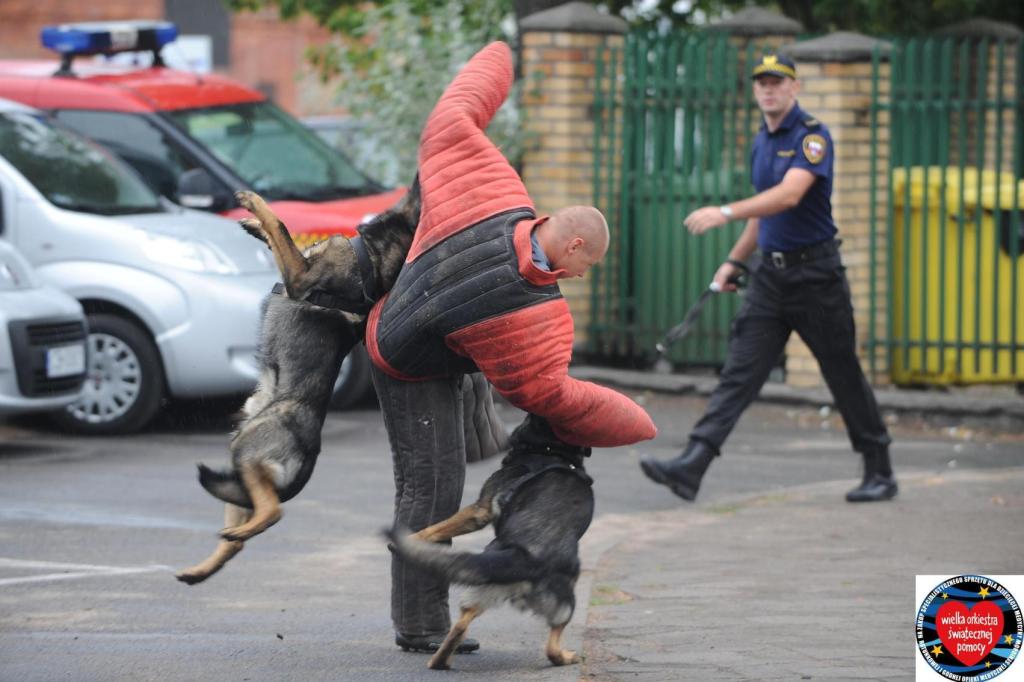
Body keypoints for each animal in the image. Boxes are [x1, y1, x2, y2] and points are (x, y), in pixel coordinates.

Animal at [177, 182, 419, 585]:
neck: (373, 259)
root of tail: (310, 453)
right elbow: (278, 235)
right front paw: (252, 224)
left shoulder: (298, 277)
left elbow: (281, 227)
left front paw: (254, 203)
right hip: (241, 470)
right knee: (241, 535)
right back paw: (200, 568)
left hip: (246, 450)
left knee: (273, 513)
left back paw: (240, 534)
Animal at [385, 411, 593, 667]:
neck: (551, 451)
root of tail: (526, 558)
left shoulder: (479, 511)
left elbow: (438, 527)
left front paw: (412, 537)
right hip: (495, 593)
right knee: (461, 627)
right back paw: (439, 661)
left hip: (556, 601)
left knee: (550, 647)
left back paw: (566, 657)